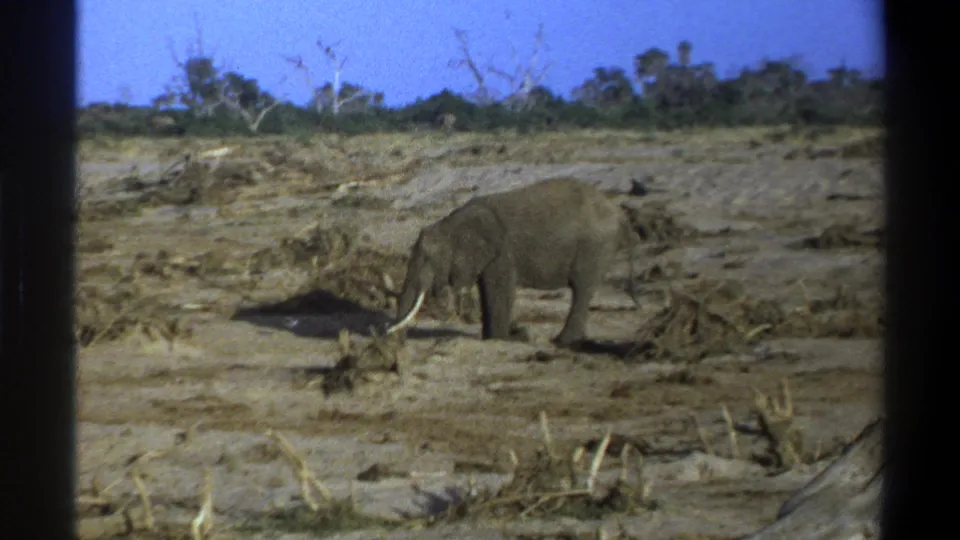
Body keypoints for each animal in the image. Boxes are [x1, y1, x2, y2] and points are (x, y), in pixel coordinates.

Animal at [385, 177, 641, 347]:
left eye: (428, 258)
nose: (392, 335)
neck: (452, 222)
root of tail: (620, 214)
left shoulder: (502, 253)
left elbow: (501, 290)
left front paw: (502, 338)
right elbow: (487, 290)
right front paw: (491, 337)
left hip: (594, 247)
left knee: (581, 289)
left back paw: (561, 341)